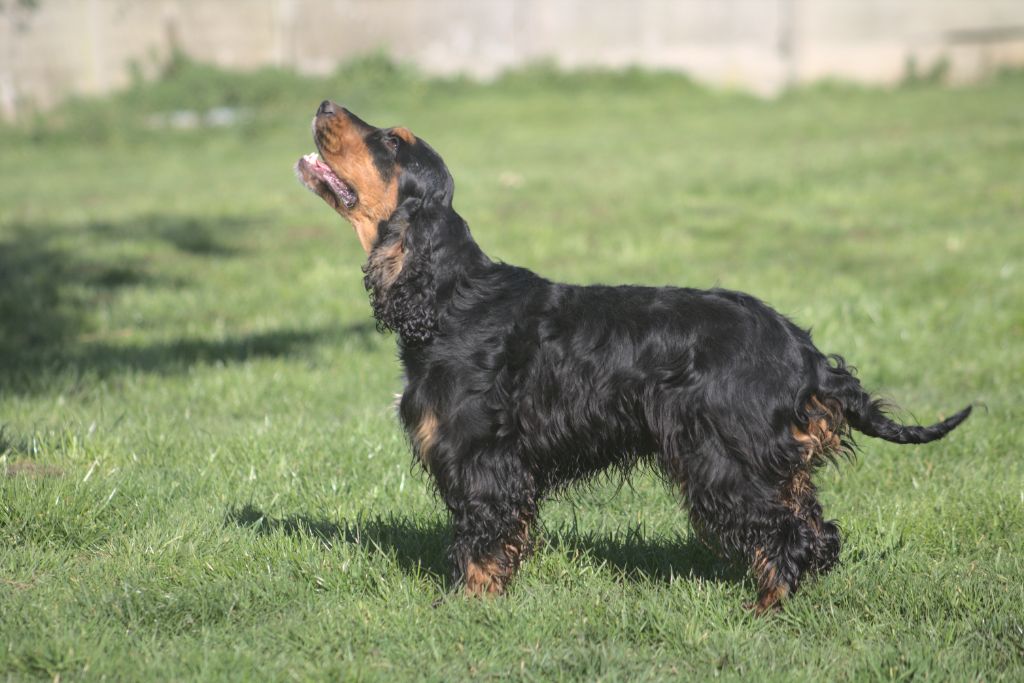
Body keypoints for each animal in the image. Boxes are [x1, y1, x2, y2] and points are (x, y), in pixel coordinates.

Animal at [294, 102, 966, 614]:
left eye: (390, 140)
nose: (324, 104)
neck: (447, 297)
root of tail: (802, 347)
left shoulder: (482, 456)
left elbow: (480, 539)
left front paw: (467, 607)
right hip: (771, 460)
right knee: (817, 531)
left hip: (724, 458)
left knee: (788, 535)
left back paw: (765, 609)